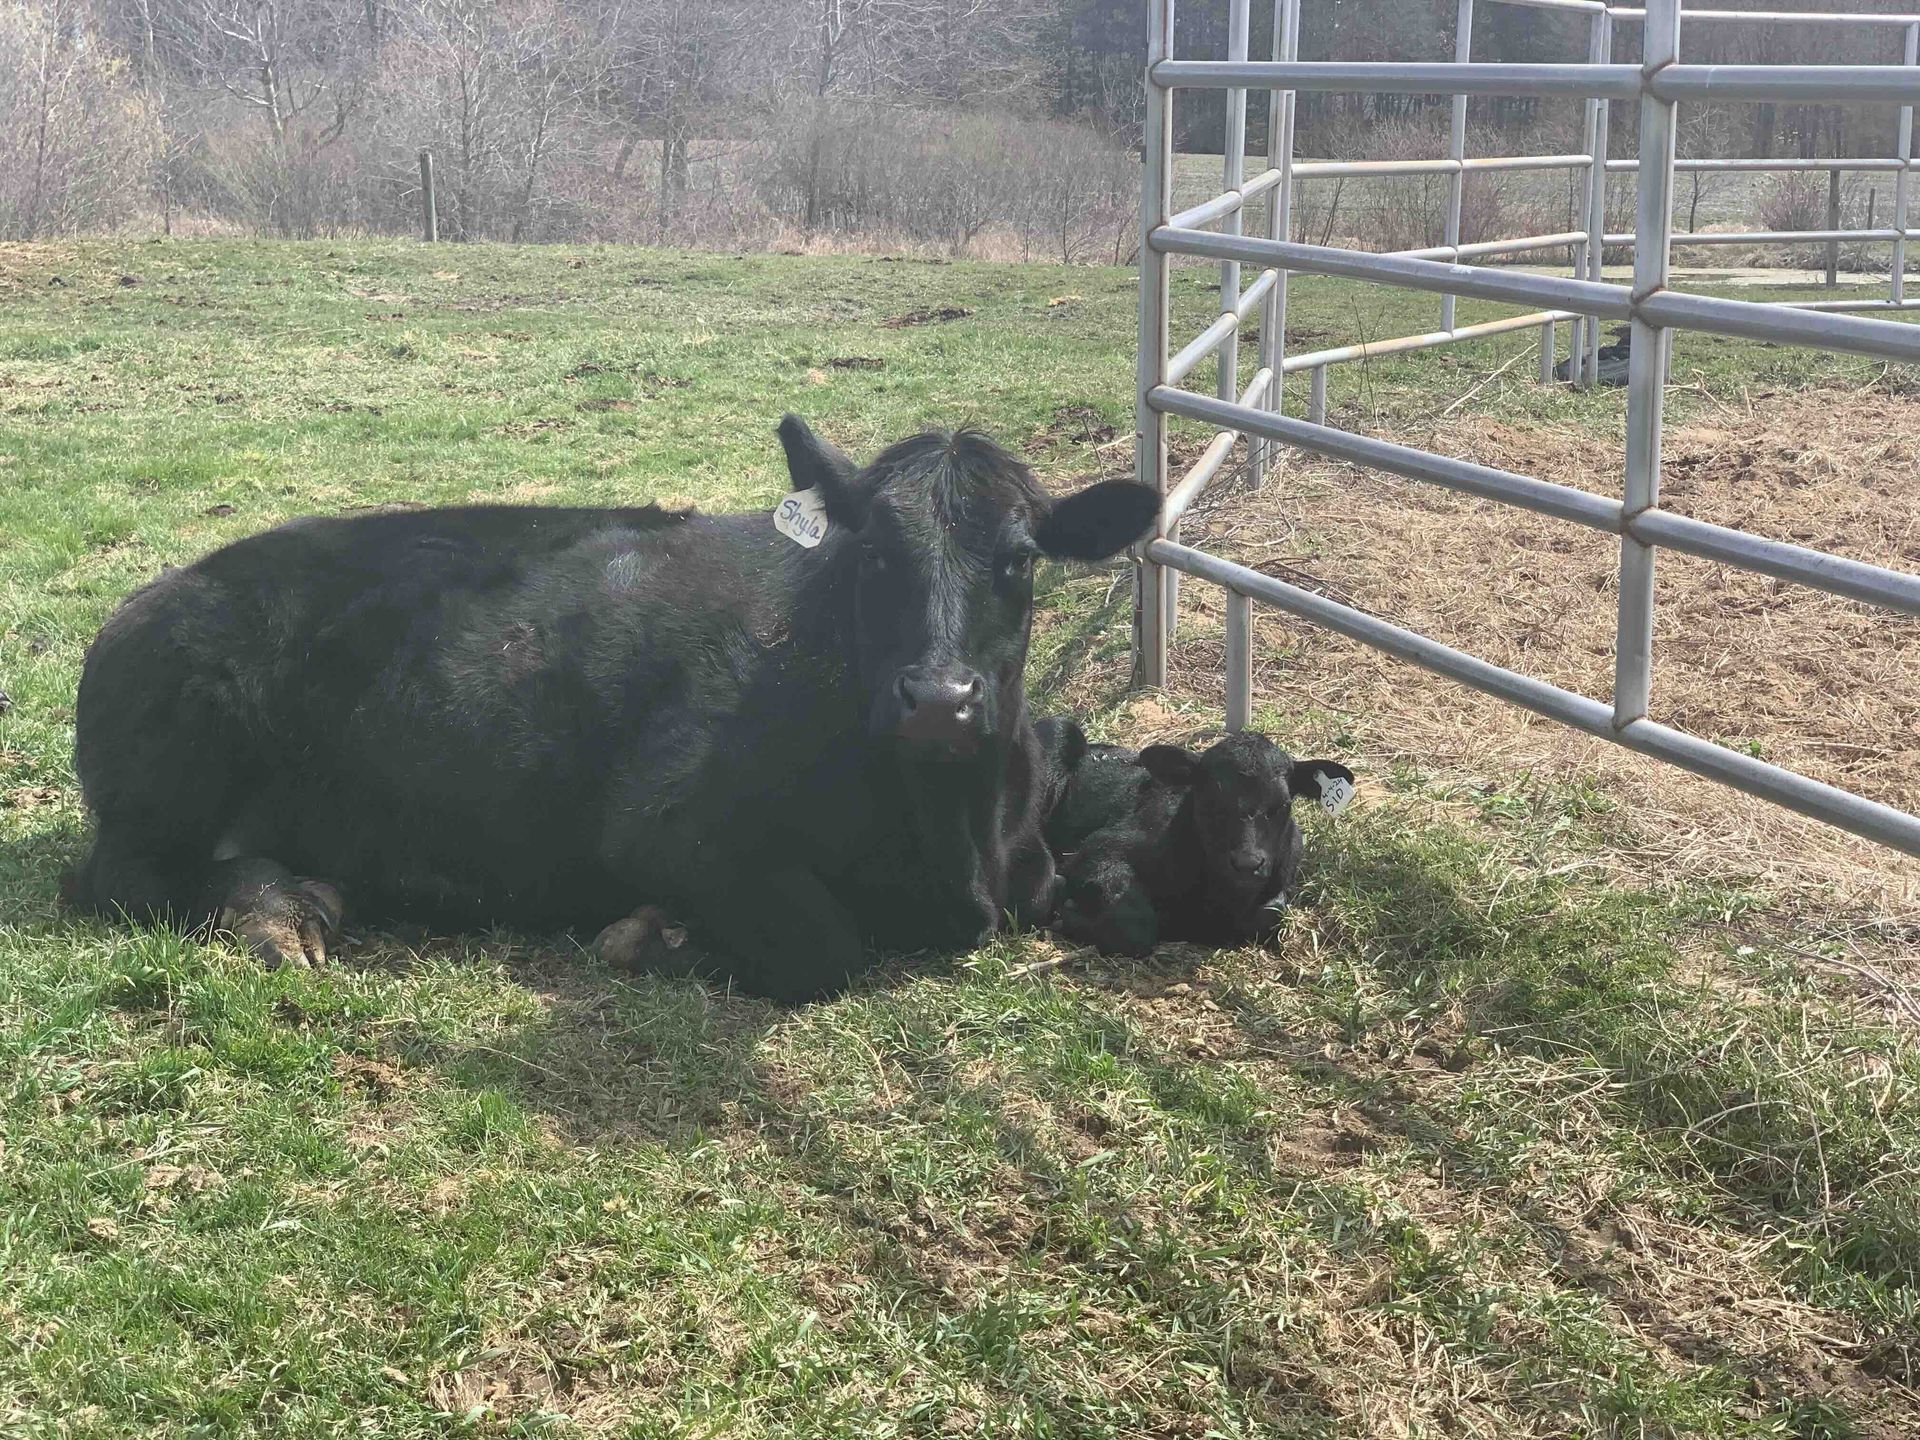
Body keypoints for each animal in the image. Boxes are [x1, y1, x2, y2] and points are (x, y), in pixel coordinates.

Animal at [65, 417, 1158, 1001]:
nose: (939, 699)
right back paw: (278, 912)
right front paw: (658, 935)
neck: (951, 850)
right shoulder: (662, 826)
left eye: (1021, 562)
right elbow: (825, 948)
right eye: (875, 556)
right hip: (165, 778)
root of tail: (153, 593)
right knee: (127, 878)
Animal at [1034, 718, 1354, 957]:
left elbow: (1272, 914)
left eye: (1282, 805)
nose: (1247, 863)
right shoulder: (1099, 848)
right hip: (1058, 733)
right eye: (1210, 800)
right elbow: (1136, 926)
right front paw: (1068, 912)